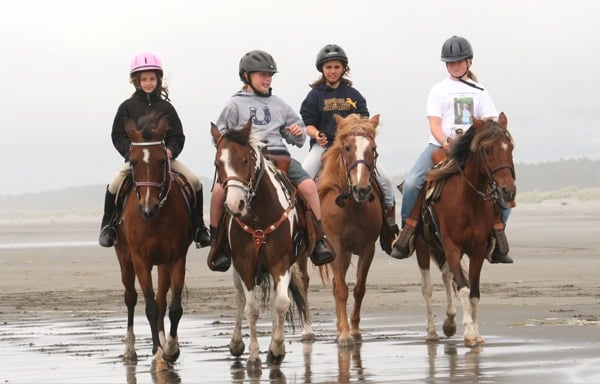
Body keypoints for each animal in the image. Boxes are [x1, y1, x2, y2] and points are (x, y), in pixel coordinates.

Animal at [113, 113, 191, 368]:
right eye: (134, 162)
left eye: (161, 161)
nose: (148, 208)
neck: (156, 218)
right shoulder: (140, 261)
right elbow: (149, 308)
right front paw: (157, 353)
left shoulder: (176, 259)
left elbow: (173, 307)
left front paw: (171, 350)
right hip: (124, 260)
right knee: (131, 298)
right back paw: (130, 351)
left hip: (163, 264)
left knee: (161, 300)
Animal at [210, 121, 312, 372]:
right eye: (218, 163)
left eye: (245, 160)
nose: (234, 205)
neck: (260, 217)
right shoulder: (244, 264)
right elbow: (251, 309)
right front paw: (254, 356)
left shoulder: (281, 263)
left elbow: (281, 304)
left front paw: (276, 350)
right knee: (240, 299)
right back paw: (237, 343)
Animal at [316, 113, 382, 348]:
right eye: (346, 148)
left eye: (373, 148)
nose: (362, 189)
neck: (352, 206)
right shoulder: (334, 247)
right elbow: (342, 290)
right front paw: (345, 335)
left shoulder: (367, 249)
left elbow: (358, 289)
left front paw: (353, 330)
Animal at [412, 112, 516, 348]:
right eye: (487, 150)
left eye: (510, 148)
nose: (508, 191)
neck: (468, 200)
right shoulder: (451, 246)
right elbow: (462, 287)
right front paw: (468, 332)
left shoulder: (477, 249)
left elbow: (473, 291)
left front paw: (475, 332)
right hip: (423, 246)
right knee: (427, 289)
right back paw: (432, 331)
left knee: (447, 277)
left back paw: (449, 322)